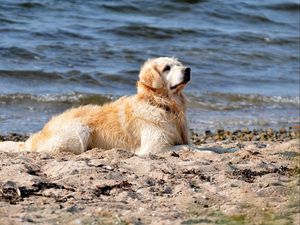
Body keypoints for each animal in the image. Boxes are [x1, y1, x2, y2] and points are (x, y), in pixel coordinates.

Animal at [0, 56, 192, 155]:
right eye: (167, 68)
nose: (188, 69)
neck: (162, 105)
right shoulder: (154, 147)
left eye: (180, 65)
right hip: (79, 132)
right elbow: (187, 147)